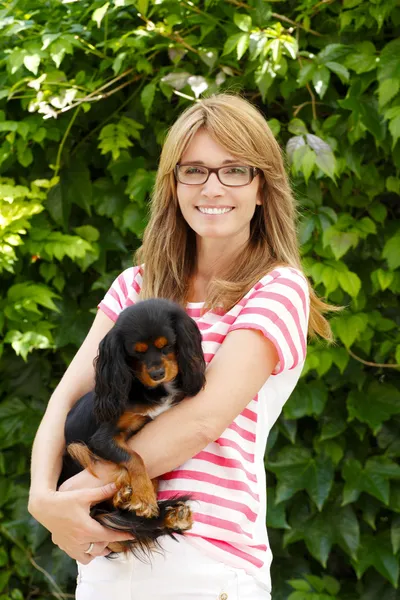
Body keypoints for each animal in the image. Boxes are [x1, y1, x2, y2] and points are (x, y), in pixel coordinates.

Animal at [58, 298, 208, 556]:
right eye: (136, 352)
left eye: (167, 345)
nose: (157, 373)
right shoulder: (101, 439)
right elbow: (135, 457)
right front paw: (145, 497)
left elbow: (153, 473)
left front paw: (144, 496)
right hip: (75, 451)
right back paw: (126, 498)